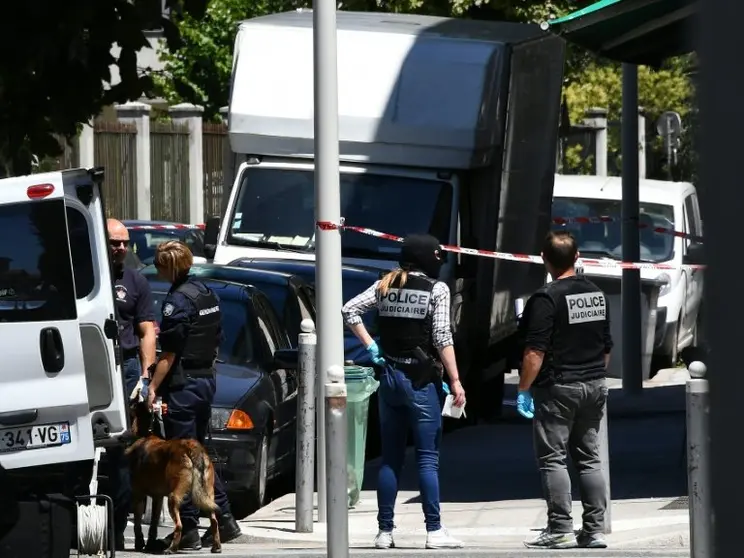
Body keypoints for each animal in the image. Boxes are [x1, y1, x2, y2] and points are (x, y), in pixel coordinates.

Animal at [125, 402, 222, 556]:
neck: (147, 434)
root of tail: (191, 447)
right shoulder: (157, 498)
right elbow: (153, 524)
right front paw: (150, 543)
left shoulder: (138, 495)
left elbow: (138, 524)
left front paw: (140, 544)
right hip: (207, 494)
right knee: (214, 520)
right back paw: (216, 547)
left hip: (173, 497)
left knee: (179, 526)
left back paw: (172, 548)